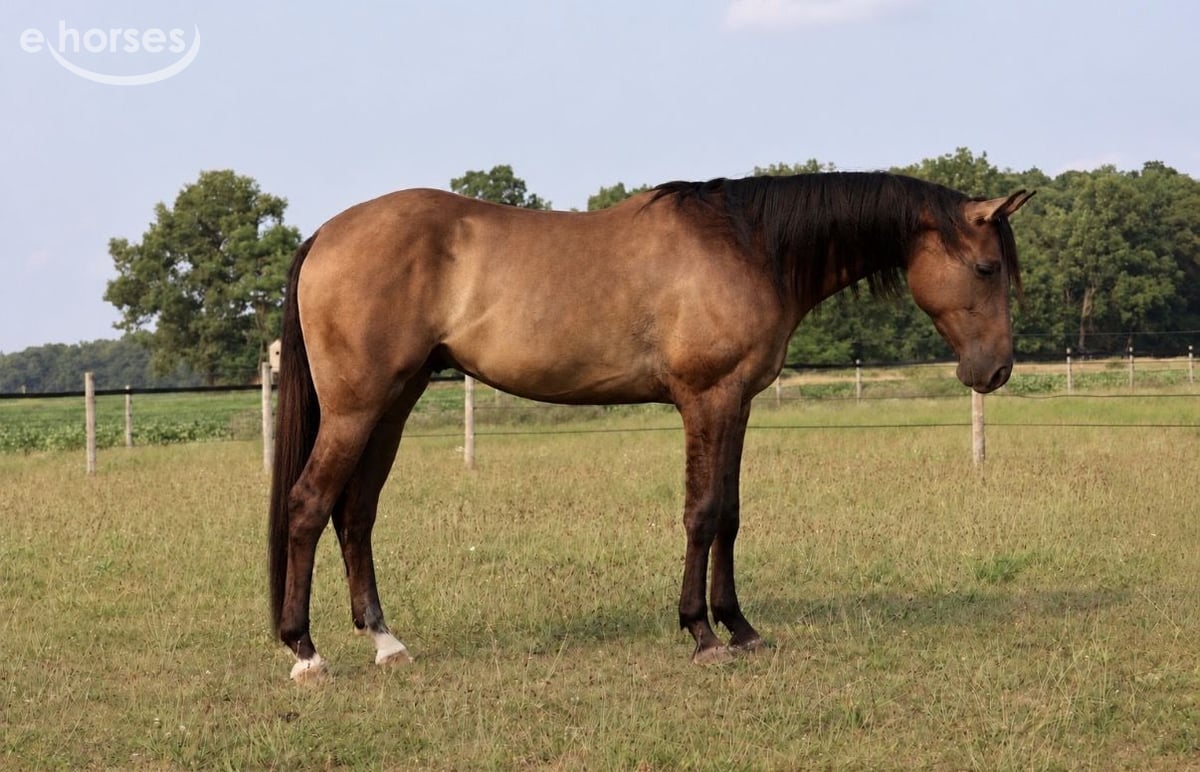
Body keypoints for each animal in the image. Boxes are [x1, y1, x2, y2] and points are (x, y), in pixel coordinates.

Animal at [268, 172, 1034, 682]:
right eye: (985, 266)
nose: (995, 370)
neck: (747, 245)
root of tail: (325, 233)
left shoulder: (737, 403)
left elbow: (730, 514)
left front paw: (740, 627)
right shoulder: (706, 399)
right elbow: (702, 512)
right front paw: (701, 632)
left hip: (393, 406)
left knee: (355, 515)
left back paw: (385, 642)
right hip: (358, 408)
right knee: (308, 506)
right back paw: (305, 652)